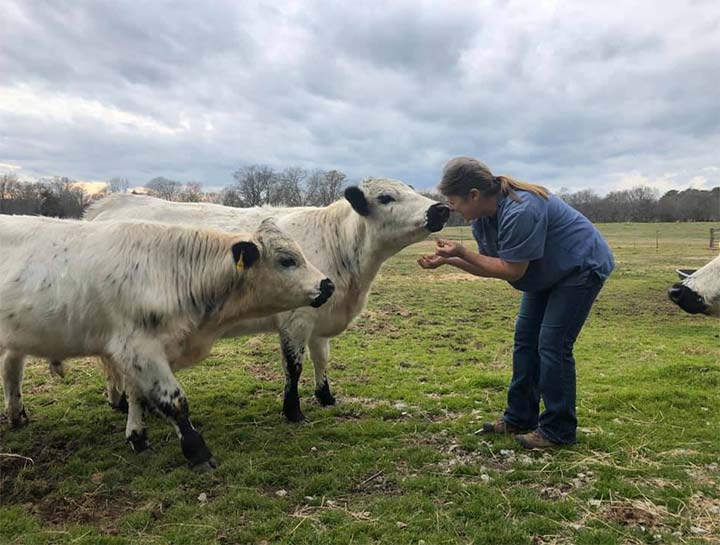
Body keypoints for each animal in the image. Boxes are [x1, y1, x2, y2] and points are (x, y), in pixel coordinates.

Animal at [0, 215, 332, 470]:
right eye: (287, 260)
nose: (327, 284)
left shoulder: (136, 356)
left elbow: (138, 396)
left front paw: (137, 437)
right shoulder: (140, 350)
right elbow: (175, 402)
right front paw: (198, 452)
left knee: (11, 370)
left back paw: (17, 415)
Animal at [86, 178, 450, 420]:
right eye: (387, 197)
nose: (441, 207)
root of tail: (103, 208)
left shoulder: (319, 318)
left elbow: (322, 359)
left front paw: (326, 397)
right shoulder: (296, 320)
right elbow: (294, 366)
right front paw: (293, 411)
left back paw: (118, 400)